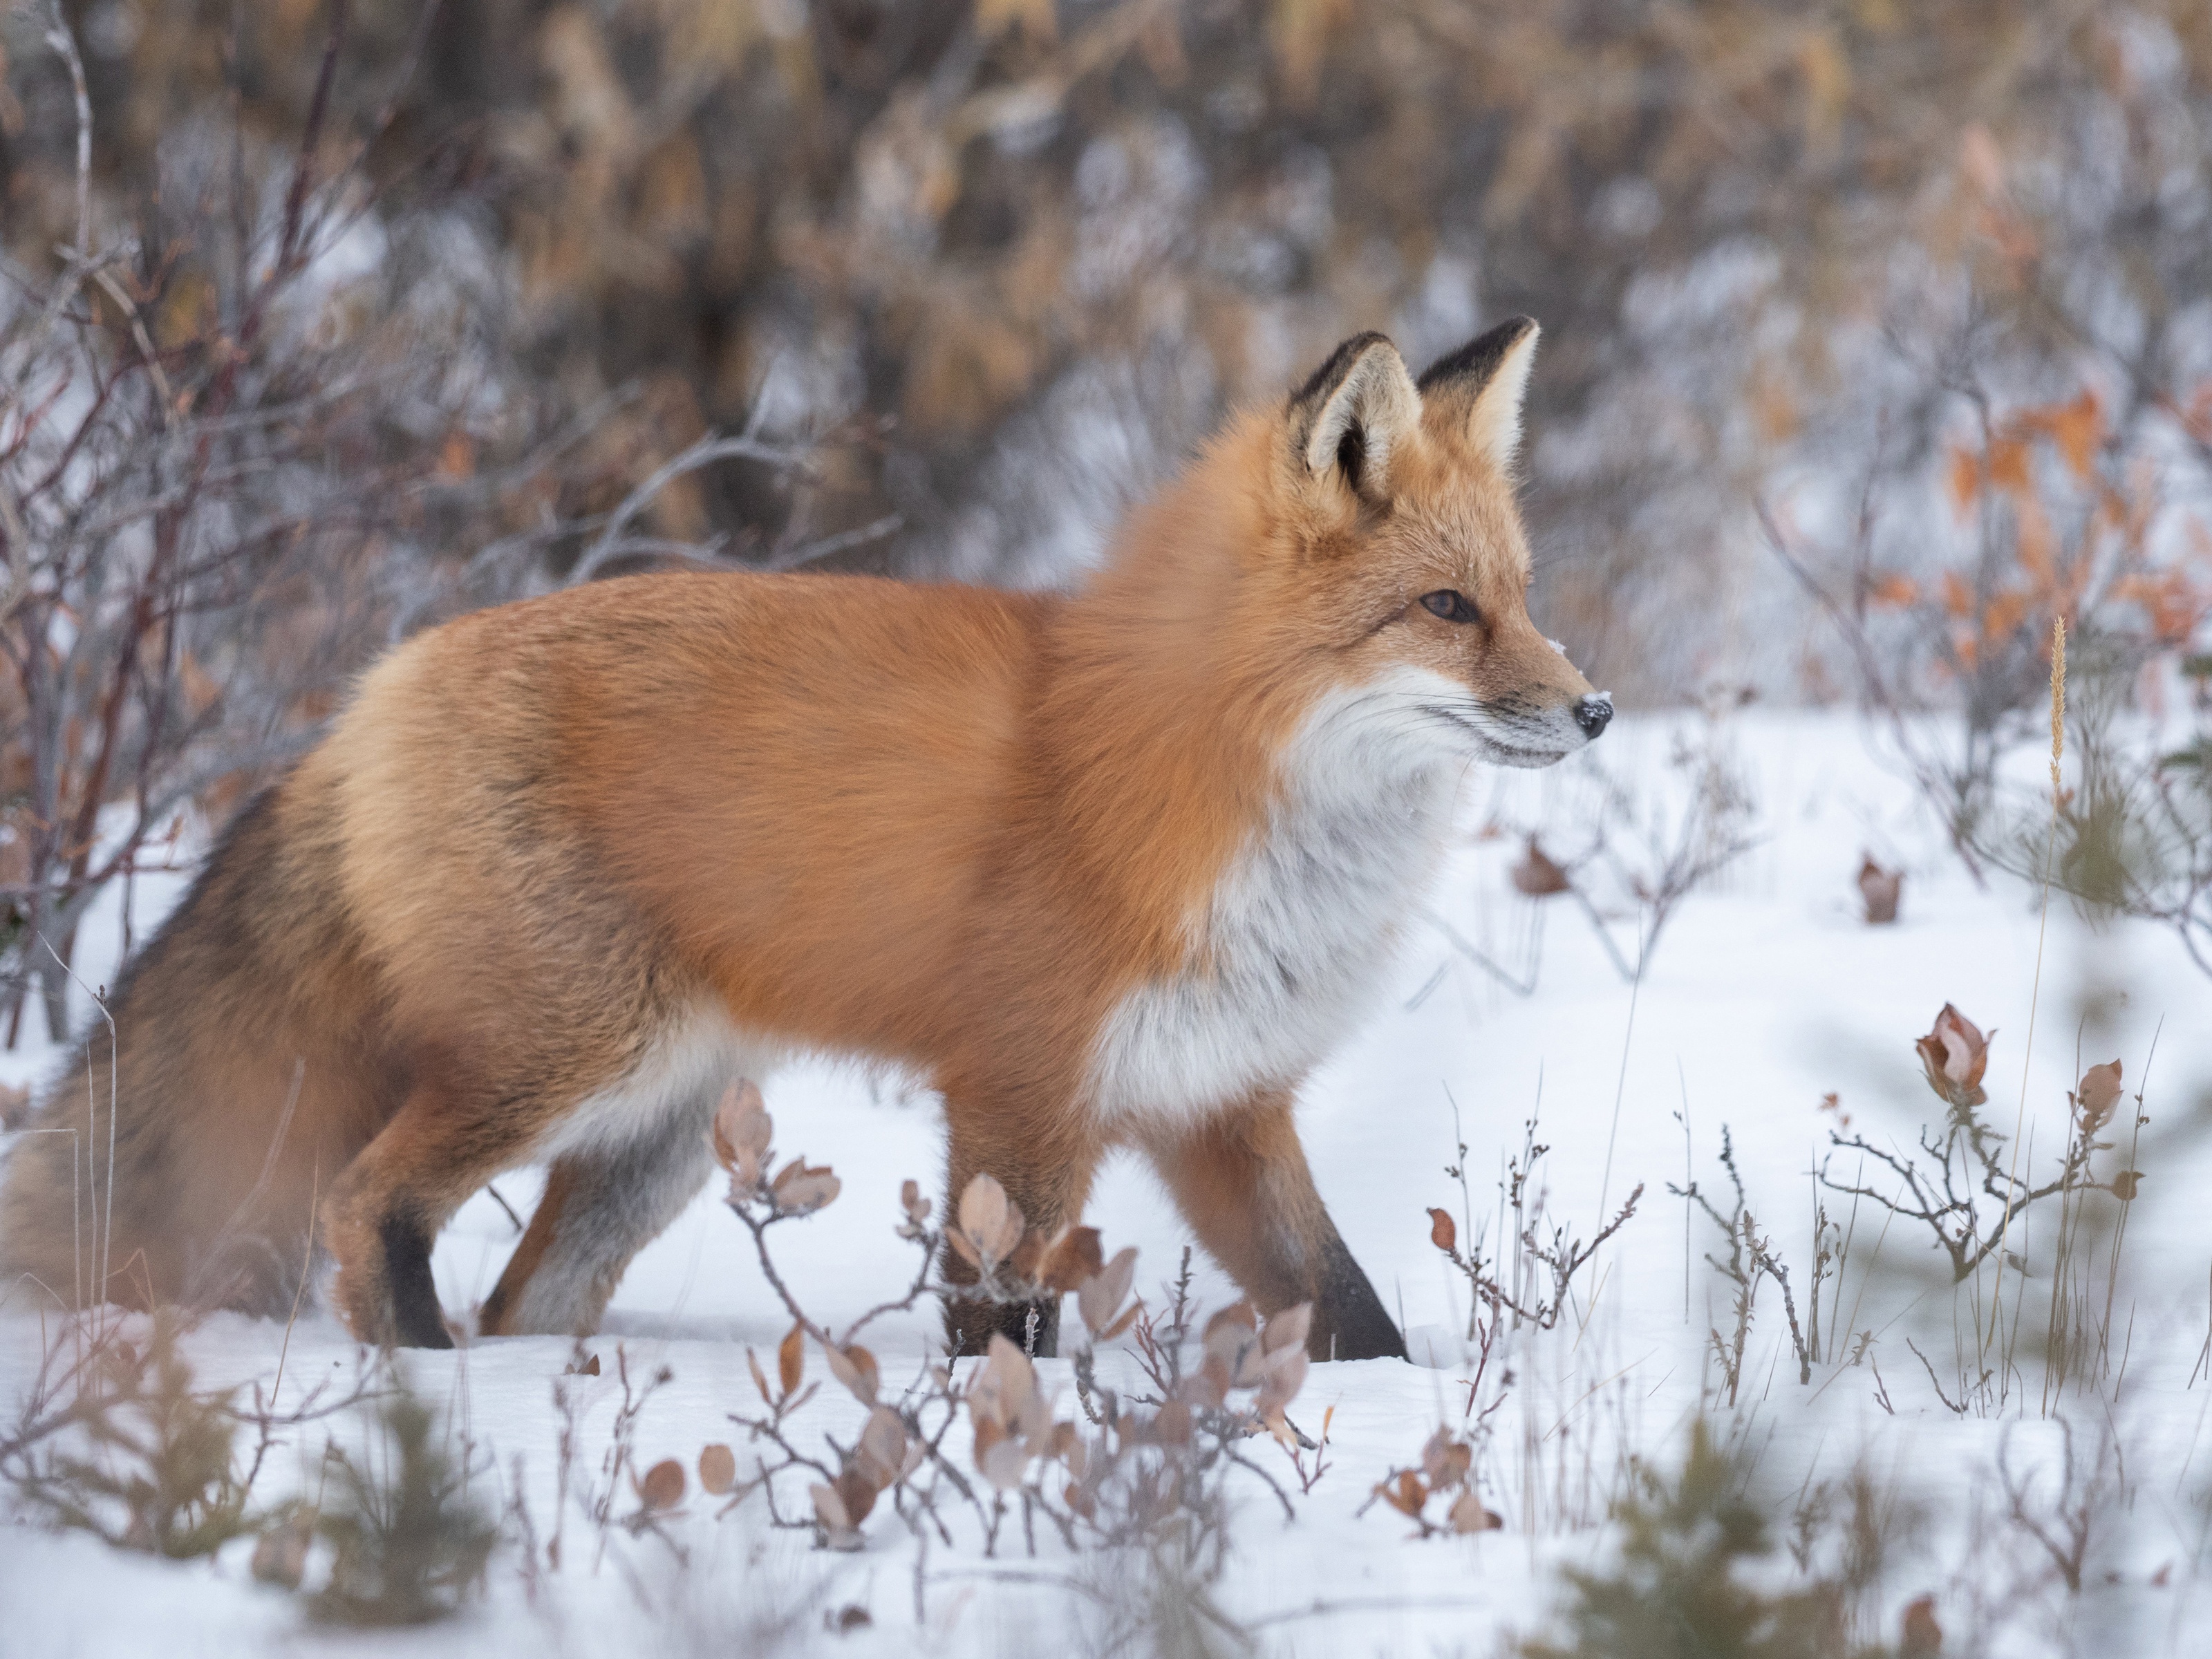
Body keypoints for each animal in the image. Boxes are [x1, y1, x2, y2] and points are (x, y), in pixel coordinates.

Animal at [0, 318, 1610, 1353]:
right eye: (1446, 610)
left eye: (1524, 597)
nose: (1595, 710)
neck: (1213, 771)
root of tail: (371, 691)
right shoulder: (1019, 1094)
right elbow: (1001, 1333)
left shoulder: (1218, 1103)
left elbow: (1347, 1308)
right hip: (567, 1056)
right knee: (366, 1201)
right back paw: (427, 1391)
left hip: (648, 1139)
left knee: (528, 1297)